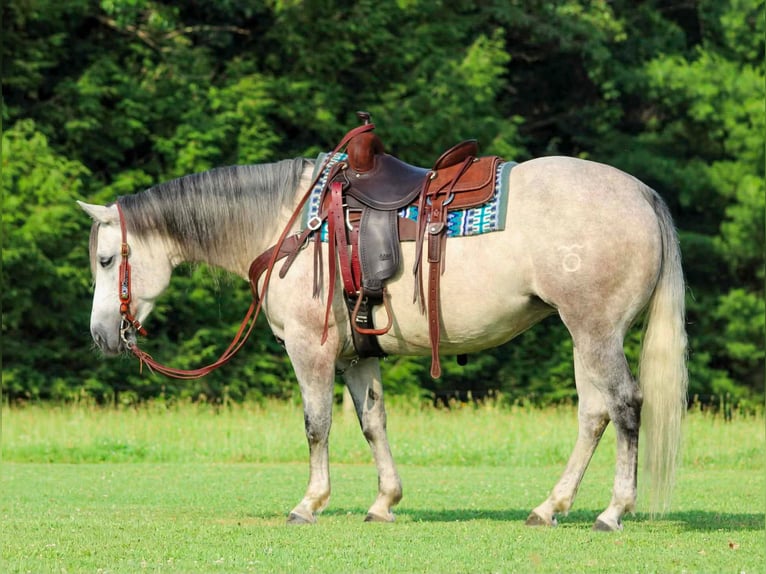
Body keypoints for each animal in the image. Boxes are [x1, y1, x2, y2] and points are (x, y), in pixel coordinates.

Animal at [78, 152, 687, 531]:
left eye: (107, 261)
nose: (102, 335)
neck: (289, 226)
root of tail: (640, 193)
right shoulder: (356, 358)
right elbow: (373, 423)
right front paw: (384, 502)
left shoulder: (311, 349)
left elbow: (316, 425)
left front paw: (309, 503)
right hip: (583, 335)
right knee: (594, 414)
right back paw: (550, 506)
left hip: (596, 332)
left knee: (624, 406)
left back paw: (611, 511)